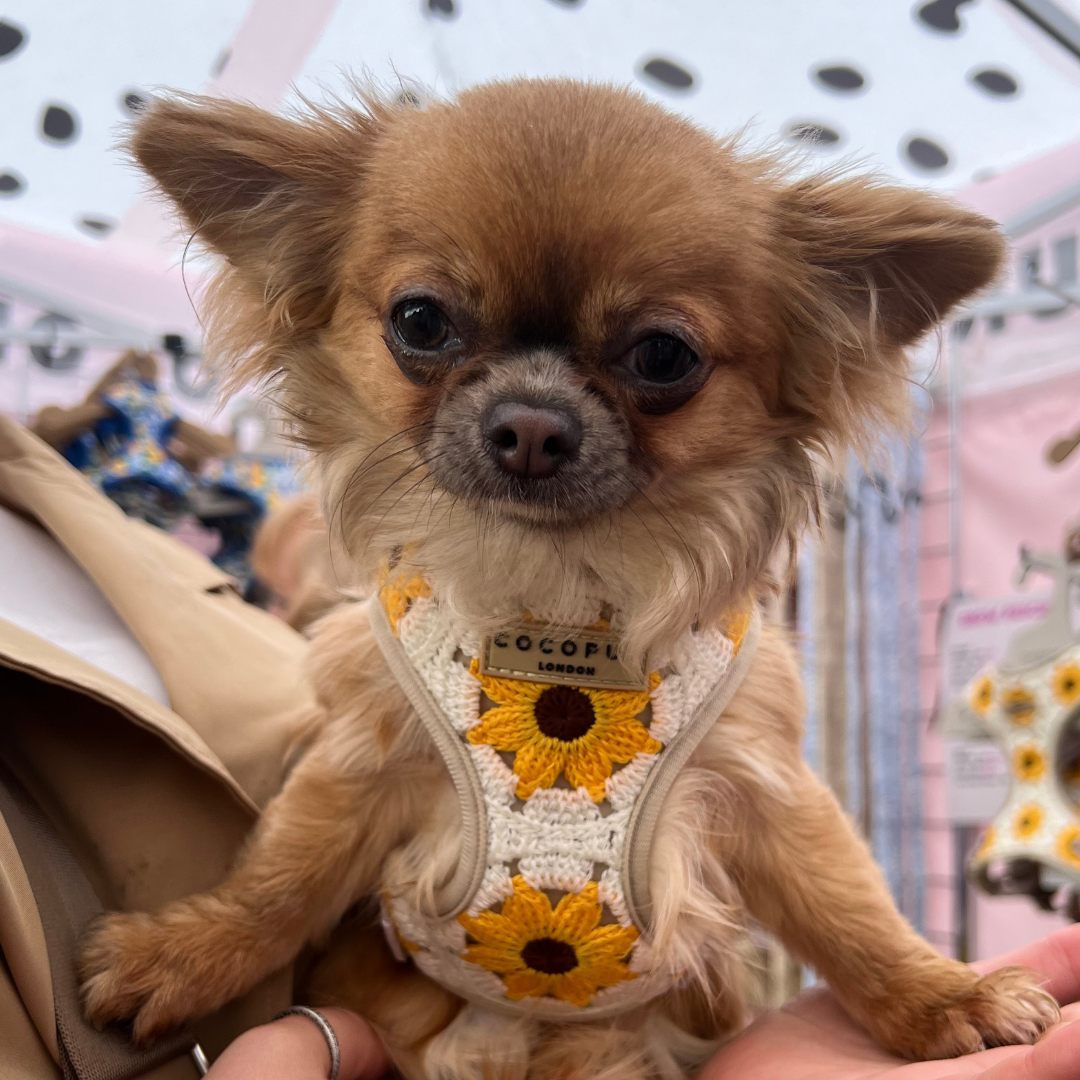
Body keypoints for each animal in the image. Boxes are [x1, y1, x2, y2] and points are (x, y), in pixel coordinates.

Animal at [79, 79, 1058, 1075]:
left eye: (663, 354)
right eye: (420, 321)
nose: (532, 424)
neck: (555, 594)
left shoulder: (770, 791)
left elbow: (851, 913)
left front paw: (945, 996)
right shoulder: (358, 766)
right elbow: (280, 881)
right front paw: (185, 955)